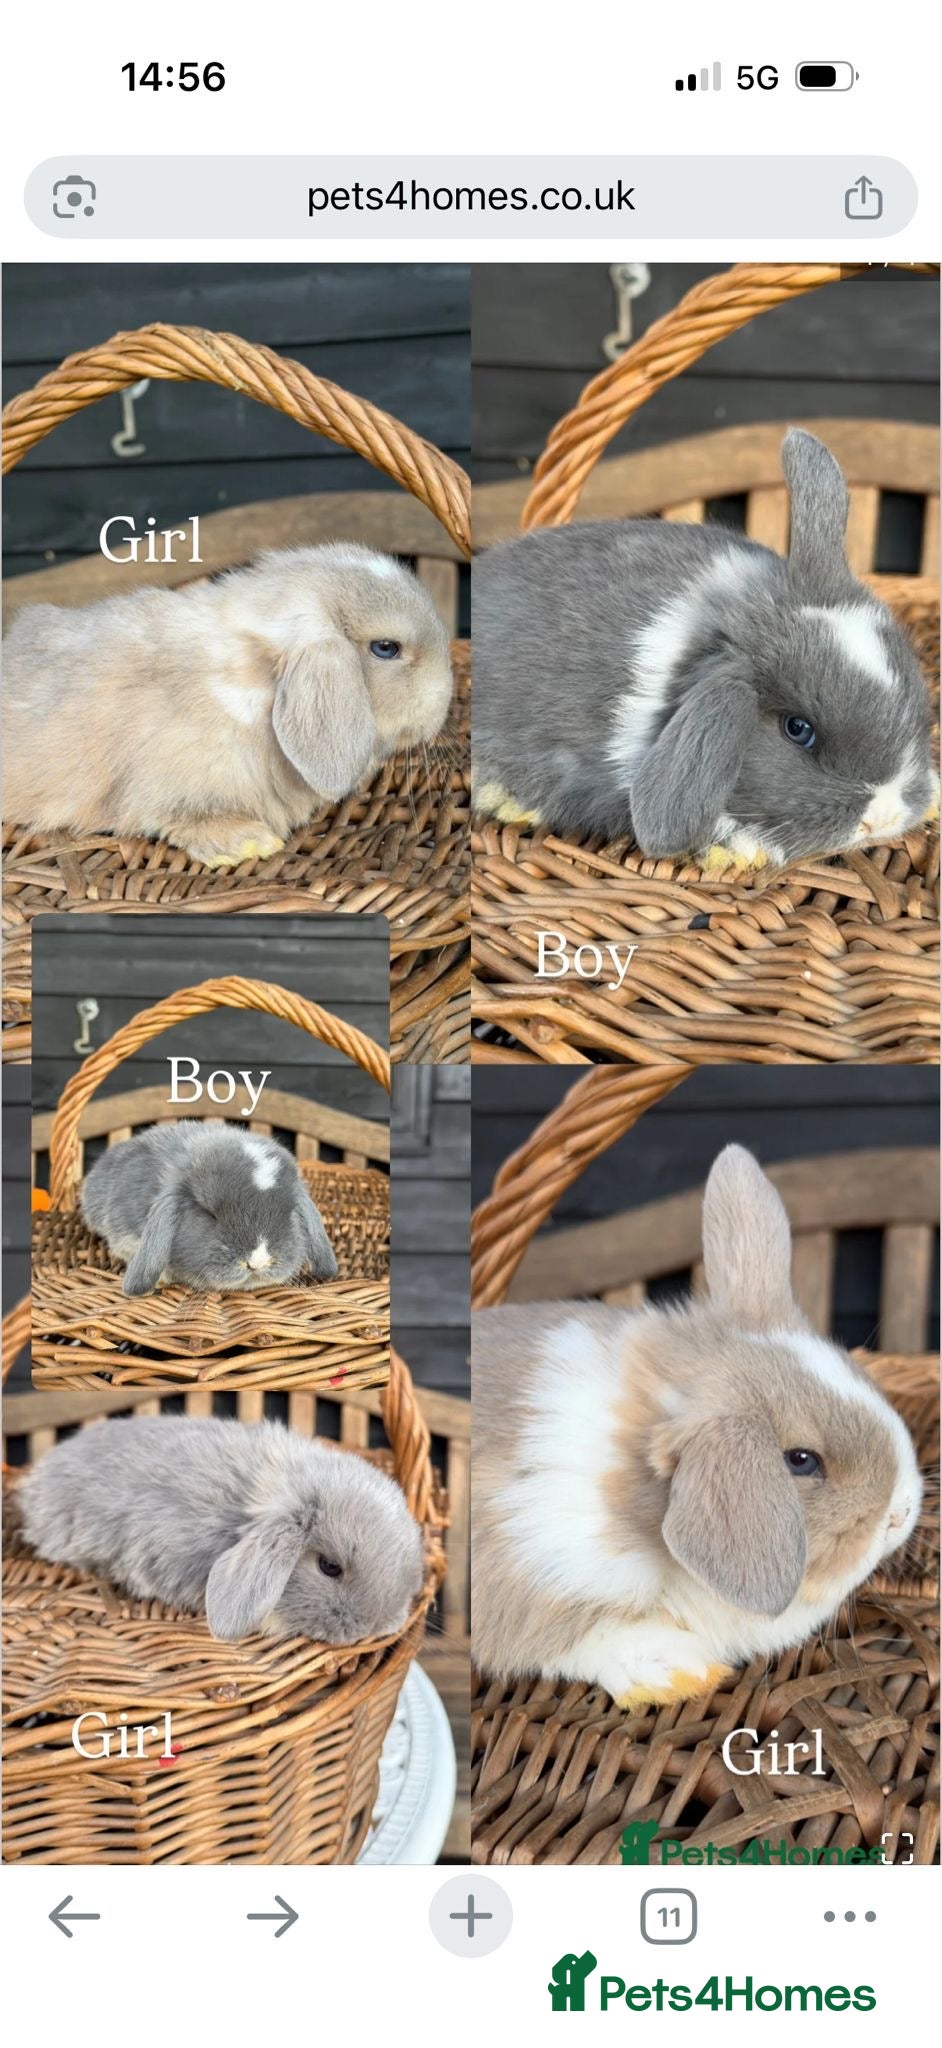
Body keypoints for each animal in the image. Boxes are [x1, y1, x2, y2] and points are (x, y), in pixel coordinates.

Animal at [3, 541, 452, 867]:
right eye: (386, 648)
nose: (445, 701)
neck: (257, 688)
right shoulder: (174, 791)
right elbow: (182, 818)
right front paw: (251, 845)